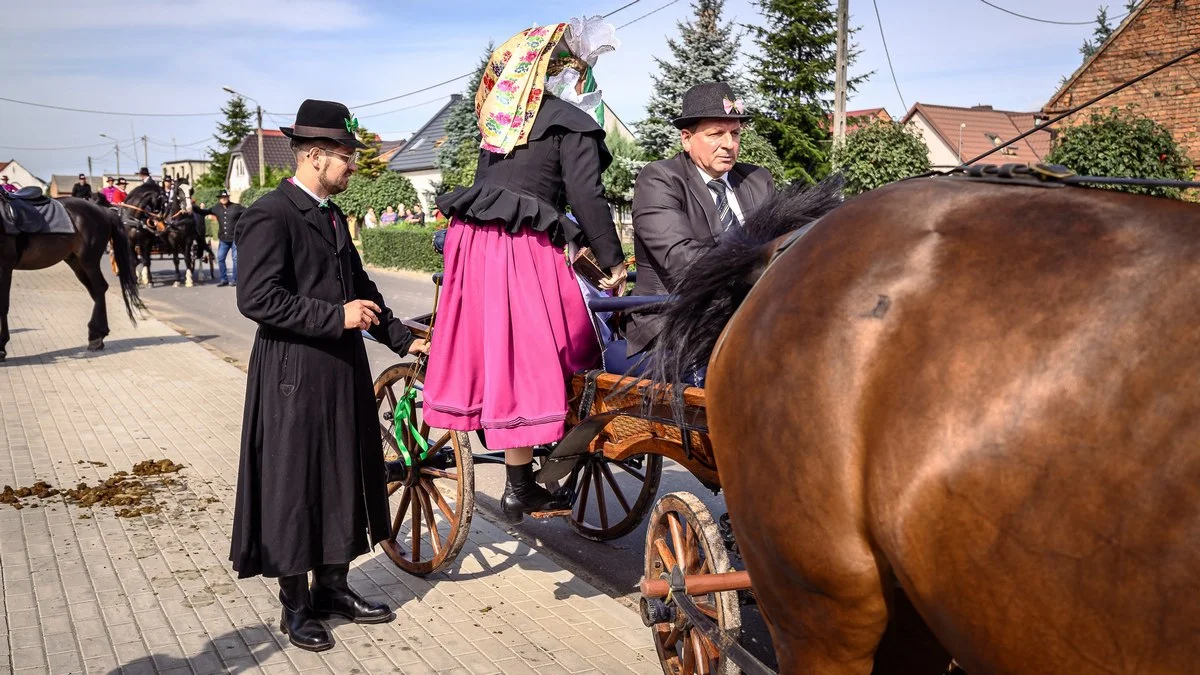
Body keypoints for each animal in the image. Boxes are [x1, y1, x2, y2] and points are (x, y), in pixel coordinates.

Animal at [0, 196, 141, 360]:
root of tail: (103, 211)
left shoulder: (5, 267)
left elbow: (3, 305)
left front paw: (1, 348)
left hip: (89, 261)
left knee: (100, 287)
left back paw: (96, 338)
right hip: (76, 262)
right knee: (95, 291)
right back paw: (98, 334)